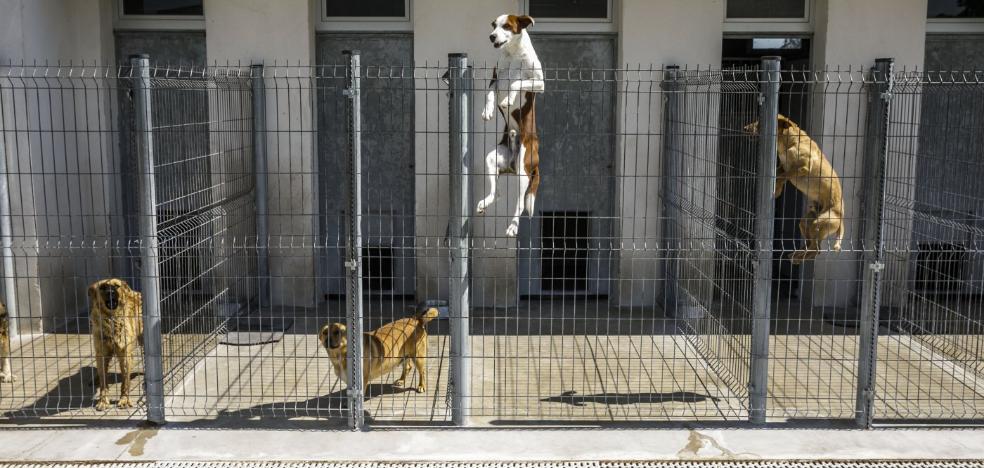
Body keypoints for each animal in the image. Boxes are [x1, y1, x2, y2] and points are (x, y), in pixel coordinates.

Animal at [88, 278, 143, 410]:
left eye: (117, 286)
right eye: (102, 287)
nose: (110, 292)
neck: (111, 320)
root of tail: (136, 292)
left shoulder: (125, 355)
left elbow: (125, 382)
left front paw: (124, 400)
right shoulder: (102, 354)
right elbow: (103, 382)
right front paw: (103, 401)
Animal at [476, 14, 544, 238]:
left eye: (506, 26)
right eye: (494, 25)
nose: (491, 36)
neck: (513, 54)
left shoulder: (539, 83)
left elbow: (516, 82)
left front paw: (508, 100)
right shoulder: (495, 79)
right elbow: (490, 94)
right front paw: (488, 111)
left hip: (523, 172)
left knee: (520, 205)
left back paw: (513, 227)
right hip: (493, 159)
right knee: (496, 193)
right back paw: (485, 202)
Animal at [744, 114, 844, 264]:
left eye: (760, 122)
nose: (744, 128)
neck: (790, 142)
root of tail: (842, 217)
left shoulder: (802, 168)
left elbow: (783, 176)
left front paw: (776, 190)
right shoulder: (783, 166)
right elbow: (780, 174)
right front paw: (777, 189)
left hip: (819, 224)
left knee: (816, 249)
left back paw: (798, 258)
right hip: (806, 222)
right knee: (811, 245)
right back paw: (797, 255)